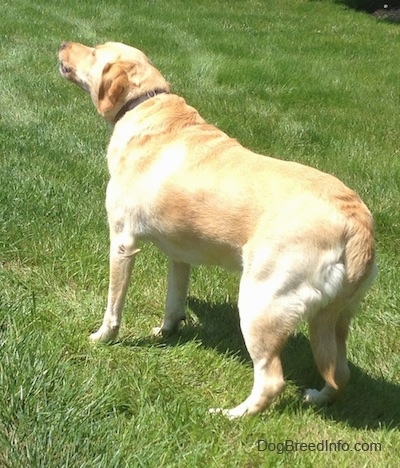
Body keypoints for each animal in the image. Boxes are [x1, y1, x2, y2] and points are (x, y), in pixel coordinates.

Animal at [57, 42, 376, 418]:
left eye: (95, 52)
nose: (63, 44)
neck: (146, 103)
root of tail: (356, 220)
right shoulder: (179, 255)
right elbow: (174, 301)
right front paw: (165, 332)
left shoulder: (122, 242)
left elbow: (113, 307)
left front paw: (102, 338)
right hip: (334, 318)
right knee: (340, 373)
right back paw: (317, 397)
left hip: (259, 302)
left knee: (271, 380)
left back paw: (232, 415)